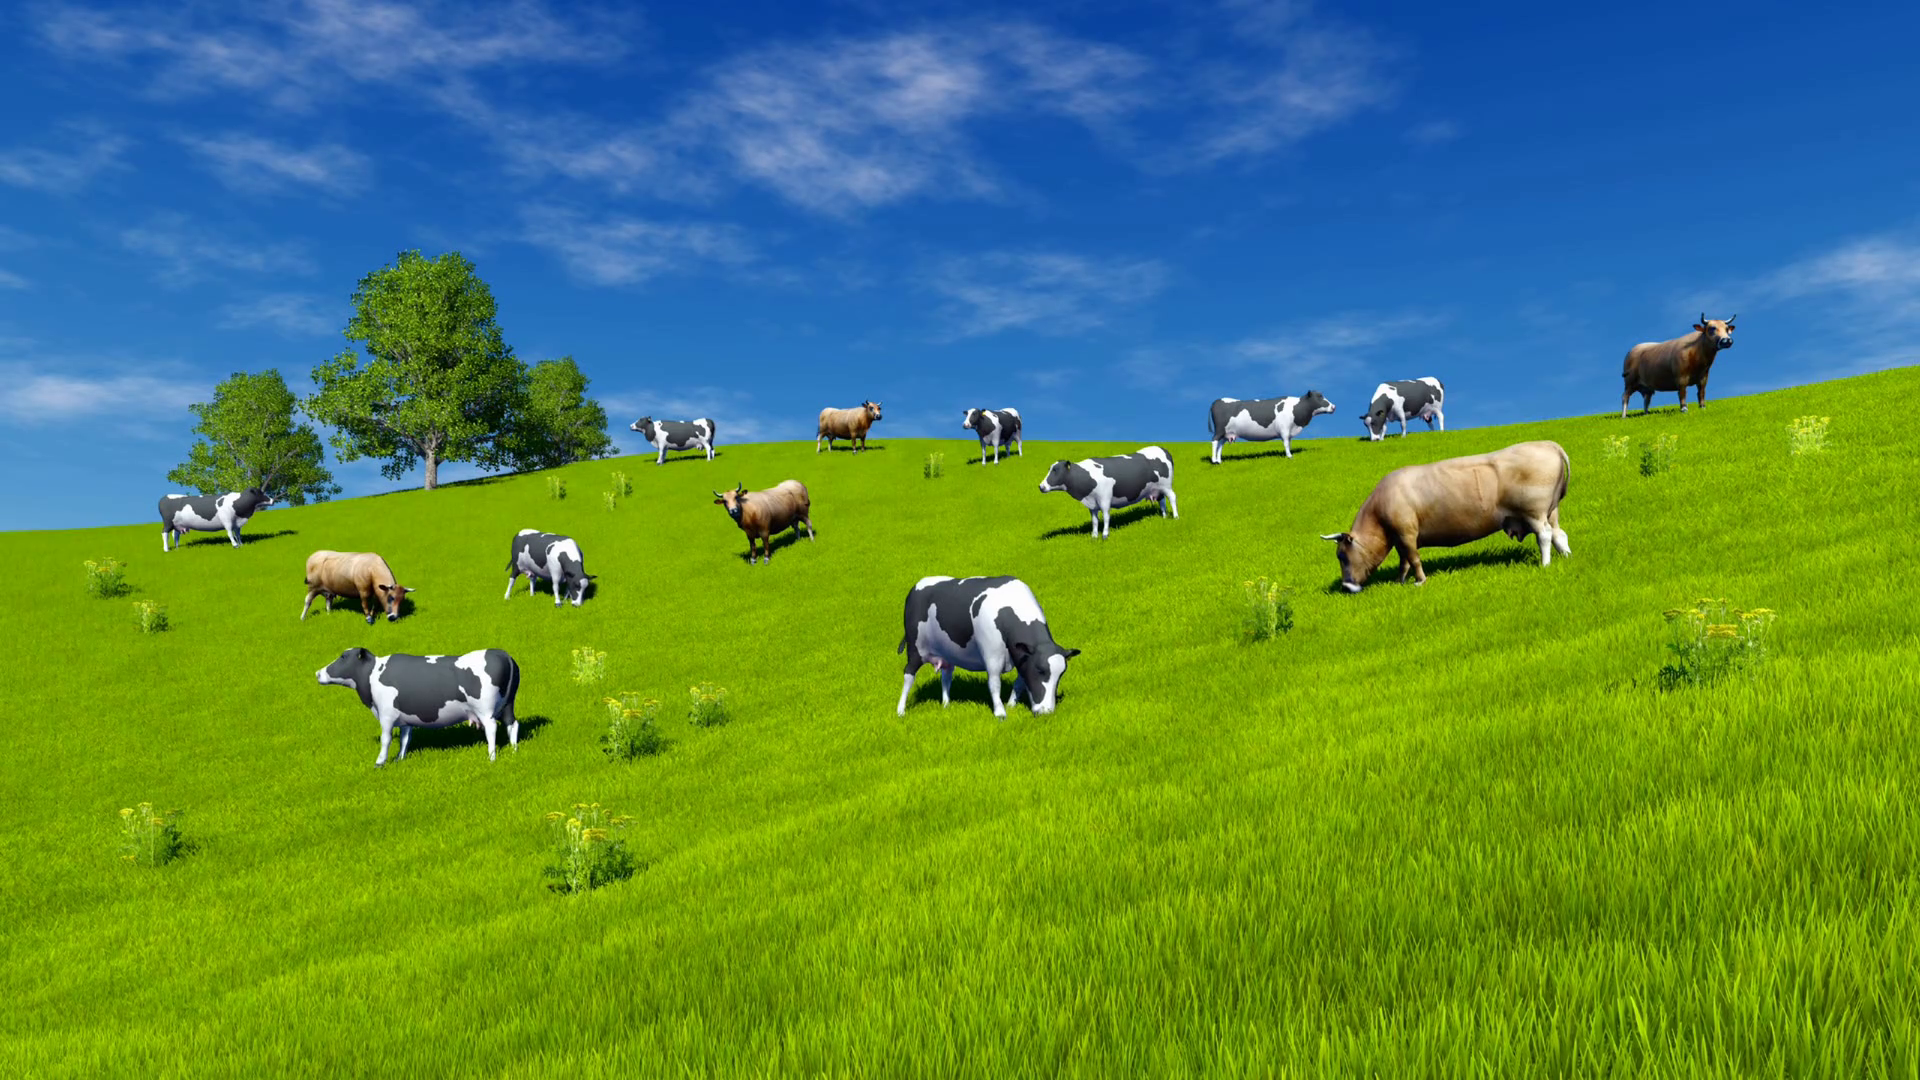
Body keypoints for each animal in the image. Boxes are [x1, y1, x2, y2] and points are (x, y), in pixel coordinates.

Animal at [316, 638, 522, 764]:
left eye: (343, 657)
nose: (318, 673)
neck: (373, 675)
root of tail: (502, 653)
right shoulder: (405, 718)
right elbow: (405, 738)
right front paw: (399, 759)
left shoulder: (386, 715)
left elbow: (386, 739)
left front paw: (380, 762)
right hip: (508, 704)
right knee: (512, 724)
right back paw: (514, 751)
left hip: (485, 709)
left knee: (491, 728)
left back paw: (491, 757)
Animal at [898, 572, 1082, 714]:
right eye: (1040, 670)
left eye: (1061, 674)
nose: (1046, 711)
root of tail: (917, 585)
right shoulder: (992, 655)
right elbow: (994, 683)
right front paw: (1000, 712)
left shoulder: (1022, 658)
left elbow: (1020, 682)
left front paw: (1011, 705)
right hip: (915, 648)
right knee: (908, 675)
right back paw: (900, 711)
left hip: (948, 653)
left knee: (946, 676)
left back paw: (946, 704)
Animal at [1044, 443, 1175, 534]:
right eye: (1050, 469)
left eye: (1056, 470)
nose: (1041, 486)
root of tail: (1162, 448)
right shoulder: (1092, 503)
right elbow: (1095, 520)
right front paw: (1094, 536)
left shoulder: (1105, 499)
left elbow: (1106, 517)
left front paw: (1105, 535)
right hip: (1158, 489)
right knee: (1162, 501)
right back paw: (1164, 517)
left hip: (1166, 486)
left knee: (1172, 498)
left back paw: (1175, 517)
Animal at [1205, 395, 1344, 463]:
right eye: (1319, 397)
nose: (1334, 406)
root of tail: (1217, 401)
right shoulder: (1285, 429)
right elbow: (1286, 444)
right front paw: (1289, 456)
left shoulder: (1289, 431)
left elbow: (1289, 443)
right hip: (1219, 430)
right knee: (1214, 441)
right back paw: (1214, 460)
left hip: (1227, 433)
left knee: (1220, 445)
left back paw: (1219, 460)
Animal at [1320, 434, 1574, 588]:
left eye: (1342, 555)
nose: (1346, 586)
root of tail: (1548, 444)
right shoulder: (1399, 538)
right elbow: (1404, 561)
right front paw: (1400, 581)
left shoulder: (1406, 532)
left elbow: (1414, 558)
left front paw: (1419, 582)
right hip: (1552, 509)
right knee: (1559, 534)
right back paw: (1566, 557)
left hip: (1534, 511)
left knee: (1544, 535)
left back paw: (1545, 564)